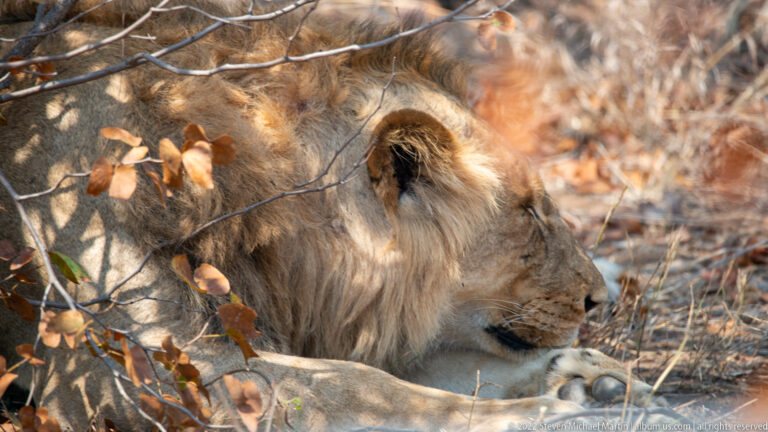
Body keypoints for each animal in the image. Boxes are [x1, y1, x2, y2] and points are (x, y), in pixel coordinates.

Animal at [0, 1, 656, 430]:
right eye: (529, 212)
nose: (600, 301)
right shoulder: (132, 366)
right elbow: (361, 387)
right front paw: (547, 410)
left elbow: (439, 368)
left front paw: (591, 379)